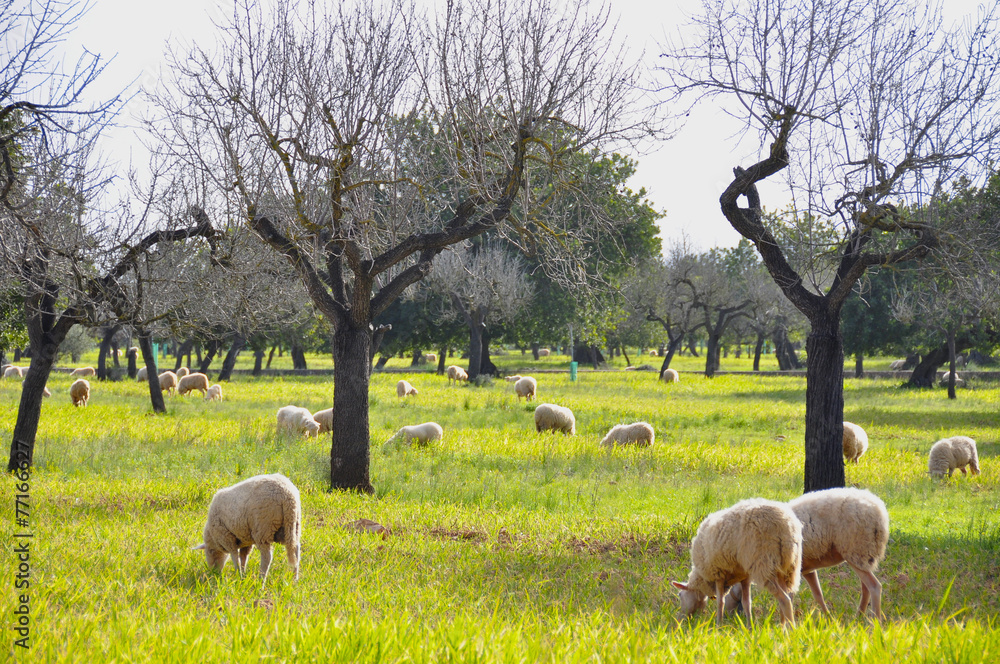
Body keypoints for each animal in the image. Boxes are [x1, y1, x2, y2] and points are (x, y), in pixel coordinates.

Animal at [671, 498, 802, 628]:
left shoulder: (718, 573)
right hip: (788, 566)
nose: (680, 621)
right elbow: (747, 603)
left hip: (764, 563)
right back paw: (783, 628)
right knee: (788, 595)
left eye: (680, 595)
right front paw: (749, 627)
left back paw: (791, 629)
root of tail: (786, 523)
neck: (702, 578)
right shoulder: (745, 577)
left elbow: (720, 602)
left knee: (785, 599)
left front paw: (718, 626)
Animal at [725, 488, 889, 620]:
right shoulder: (806, 569)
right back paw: (859, 616)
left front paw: (783, 621)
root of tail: (879, 512)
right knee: (865, 587)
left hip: (855, 550)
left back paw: (875, 621)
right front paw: (829, 619)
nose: (730, 617)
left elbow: (788, 596)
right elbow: (818, 595)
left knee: (874, 586)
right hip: (861, 555)